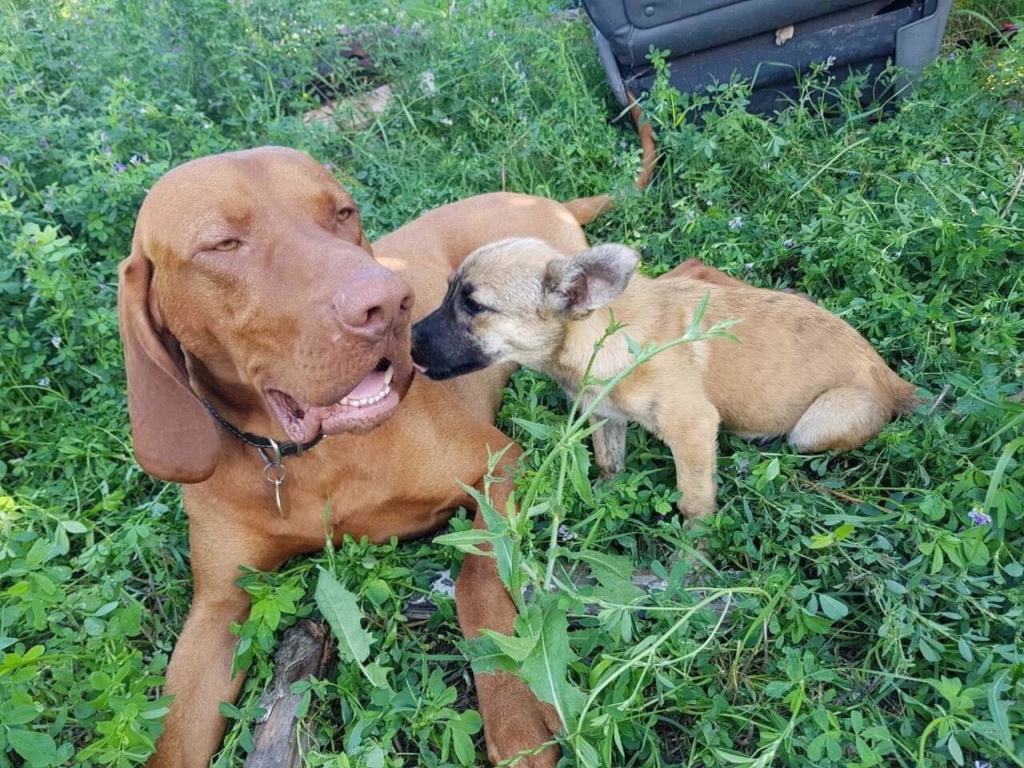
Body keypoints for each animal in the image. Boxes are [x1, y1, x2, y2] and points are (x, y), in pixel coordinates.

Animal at [117, 145, 610, 768]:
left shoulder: (500, 462)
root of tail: (546, 201)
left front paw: (516, 718)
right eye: (222, 244)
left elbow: (477, 578)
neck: (311, 460)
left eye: (343, 212)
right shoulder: (216, 609)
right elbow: (171, 737)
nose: (391, 304)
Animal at [407, 237, 921, 520]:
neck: (597, 335)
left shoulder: (692, 428)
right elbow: (609, 463)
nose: (407, 342)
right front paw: (604, 498)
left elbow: (694, 499)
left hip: (816, 426)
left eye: (474, 305)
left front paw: (693, 557)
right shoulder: (605, 417)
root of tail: (891, 379)